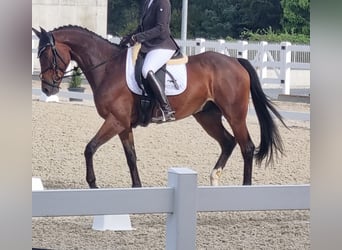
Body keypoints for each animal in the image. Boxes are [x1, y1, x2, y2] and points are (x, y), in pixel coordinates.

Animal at [32, 26, 286, 188]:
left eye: (47, 55)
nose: (47, 89)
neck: (107, 68)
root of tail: (236, 61)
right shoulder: (123, 125)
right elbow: (131, 157)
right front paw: (137, 187)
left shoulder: (115, 120)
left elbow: (90, 148)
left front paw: (93, 184)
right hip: (207, 116)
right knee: (228, 142)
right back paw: (214, 178)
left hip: (235, 114)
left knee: (246, 147)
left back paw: (245, 188)